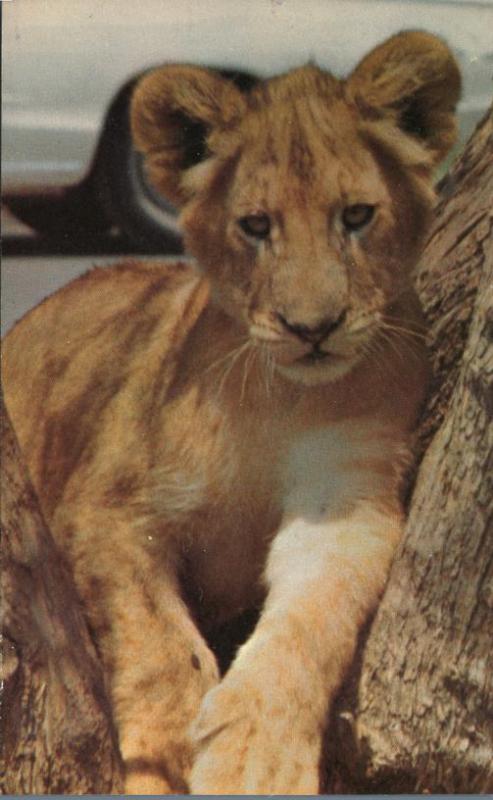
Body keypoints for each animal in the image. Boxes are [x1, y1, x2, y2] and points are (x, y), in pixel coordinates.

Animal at [1, 29, 460, 792]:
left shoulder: (347, 502)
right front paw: (165, 760)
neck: (279, 397)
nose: (313, 328)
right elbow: (160, 645)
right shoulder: (107, 507)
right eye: (255, 226)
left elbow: (310, 624)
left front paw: (258, 760)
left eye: (355, 217)